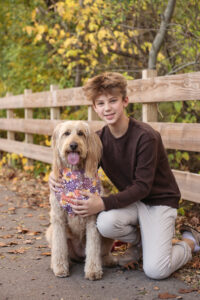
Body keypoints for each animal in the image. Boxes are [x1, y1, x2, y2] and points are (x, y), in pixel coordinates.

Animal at [46, 120, 115, 280]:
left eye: (81, 133)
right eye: (66, 133)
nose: (73, 145)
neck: (75, 175)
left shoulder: (92, 220)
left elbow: (93, 249)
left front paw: (93, 271)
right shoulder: (58, 219)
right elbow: (59, 248)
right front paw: (60, 268)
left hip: (107, 237)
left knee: (102, 252)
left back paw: (108, 260)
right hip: (50, 232)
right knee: (60, 250)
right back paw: (60, 263)